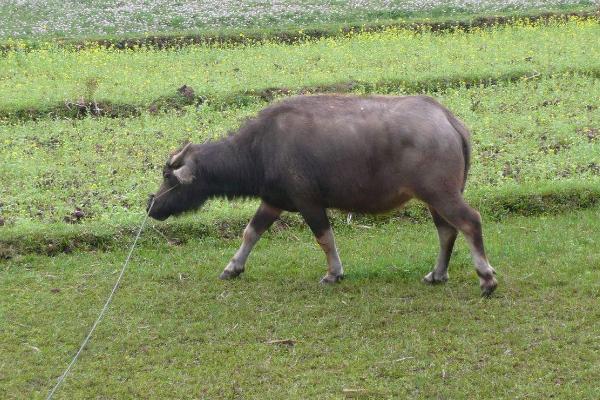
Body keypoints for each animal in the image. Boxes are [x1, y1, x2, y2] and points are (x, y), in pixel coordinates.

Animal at [149, 94, 496, 294]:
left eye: (168, 177)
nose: (151, 205)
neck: (260, 149)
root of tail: (449, 120)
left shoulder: (309, 202)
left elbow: (324, 237)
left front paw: (334, 273)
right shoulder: (273, 201)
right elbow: (251, 232)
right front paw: (233, 267)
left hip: (441, 192)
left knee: (469, 222)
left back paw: (486, 278)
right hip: (436, 198)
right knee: (446, 231)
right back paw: (436, 274)